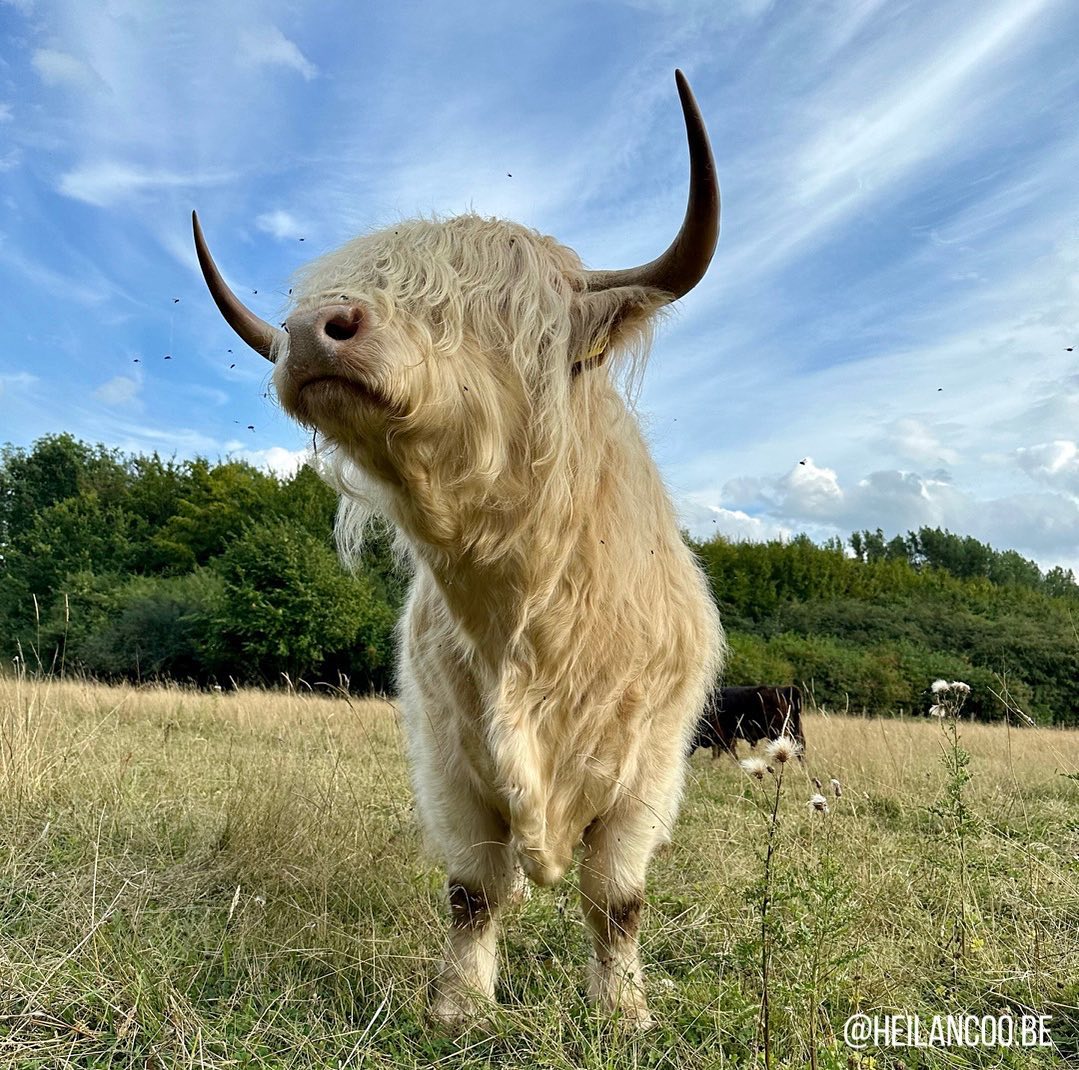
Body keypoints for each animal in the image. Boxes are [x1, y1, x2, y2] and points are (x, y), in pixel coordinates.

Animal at [193, 70, 724, 1029]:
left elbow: (614, 898)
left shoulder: (648, 772)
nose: (313, 328)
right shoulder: (449, 763)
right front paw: (458, 1006)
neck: (523, 609)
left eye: (490, 307)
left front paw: (622, 1010)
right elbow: (473, 890)